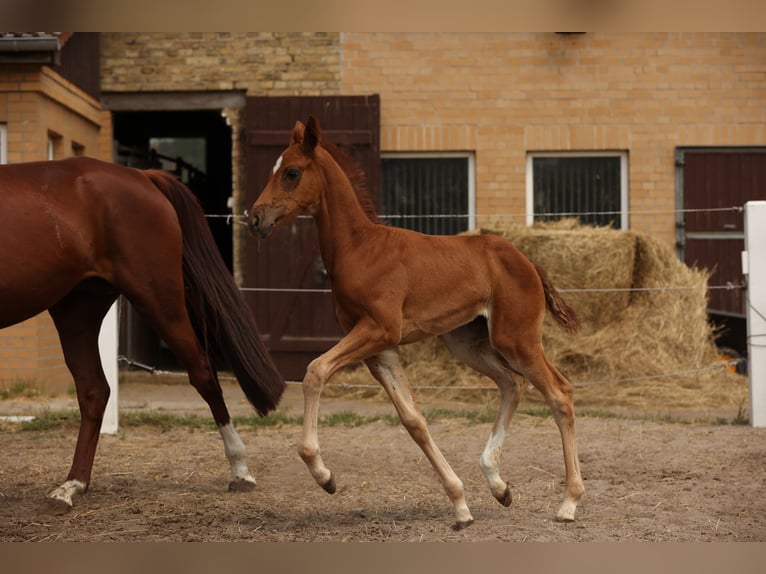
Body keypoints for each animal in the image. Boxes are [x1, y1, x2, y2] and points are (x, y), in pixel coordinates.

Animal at [0, 156, 284, 512]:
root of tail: (142, 176)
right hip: (76, 312)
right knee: (94, 391)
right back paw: (70, 487)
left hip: (157, 299)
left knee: (203, 372)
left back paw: (240, 471)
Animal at [249, 117, 584, 532]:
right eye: (274, 169)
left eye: (292, 172)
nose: (255, 219)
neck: (360, 248)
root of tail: (528, 262)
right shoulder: (378, 350)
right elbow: (413, 420)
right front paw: (460, 504)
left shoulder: (379, 330)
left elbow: (315, 371)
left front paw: (324, 475)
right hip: (468, 343)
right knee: (513, 384)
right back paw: (498, 484)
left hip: (516, 339)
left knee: (559, 392)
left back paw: (568, 503)